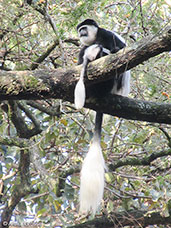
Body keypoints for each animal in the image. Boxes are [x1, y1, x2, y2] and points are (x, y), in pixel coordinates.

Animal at [74, 18, 130, 215]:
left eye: (84, 28)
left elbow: (120, 49)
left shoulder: (107, 34)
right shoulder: (84, 45)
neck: (94, 38)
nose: (81, 33)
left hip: (111, 82)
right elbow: (80, 56)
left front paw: (109, 50)